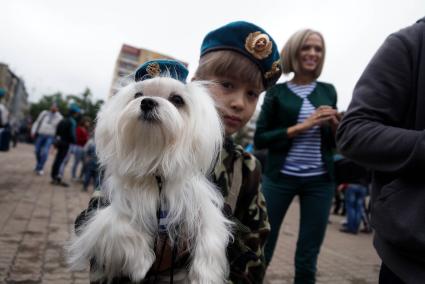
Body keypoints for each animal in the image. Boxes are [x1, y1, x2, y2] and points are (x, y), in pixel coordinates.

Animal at [67, 66, 232, 282]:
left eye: (177, 99)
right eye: (137, 95)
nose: (147, 102)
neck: (156, 168)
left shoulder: (199, 206)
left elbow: (210, 236)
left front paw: (205, 277)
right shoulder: (107, 214)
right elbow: (120, 228)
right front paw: (141, 264)